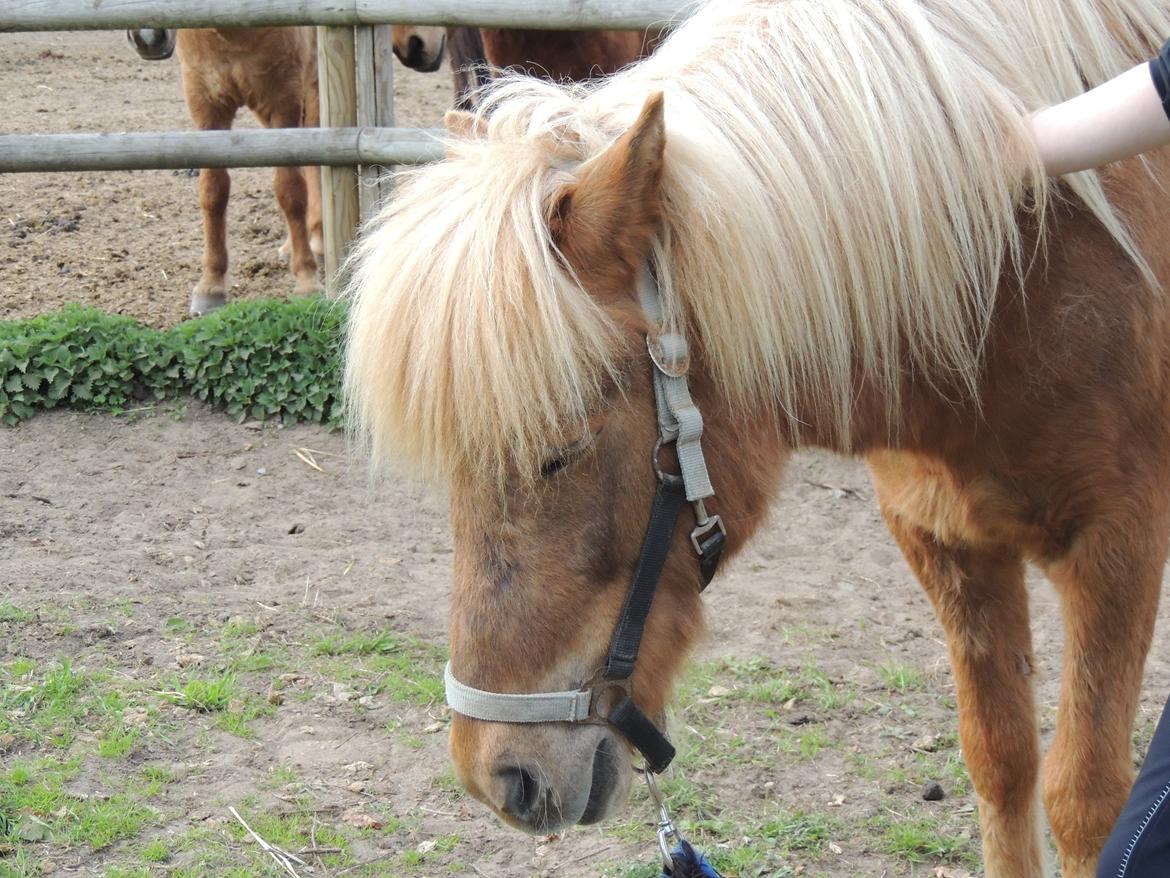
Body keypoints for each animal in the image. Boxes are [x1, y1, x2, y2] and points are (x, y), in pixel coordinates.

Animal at [128, 27, 322, 316]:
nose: (147, 37)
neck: (228, 34)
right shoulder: (204, 101)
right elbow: (213, 192)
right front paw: (211, 286)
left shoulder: (284, 99)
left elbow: (290, 191)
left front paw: (307, 282)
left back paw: (318, 240)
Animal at [343, 1, 1170, 878]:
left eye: (559, 451)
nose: (499, 775)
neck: (1015, 269)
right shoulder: (945, 540)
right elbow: (1001, 757)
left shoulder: (1117, 547)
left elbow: (1083, 796)